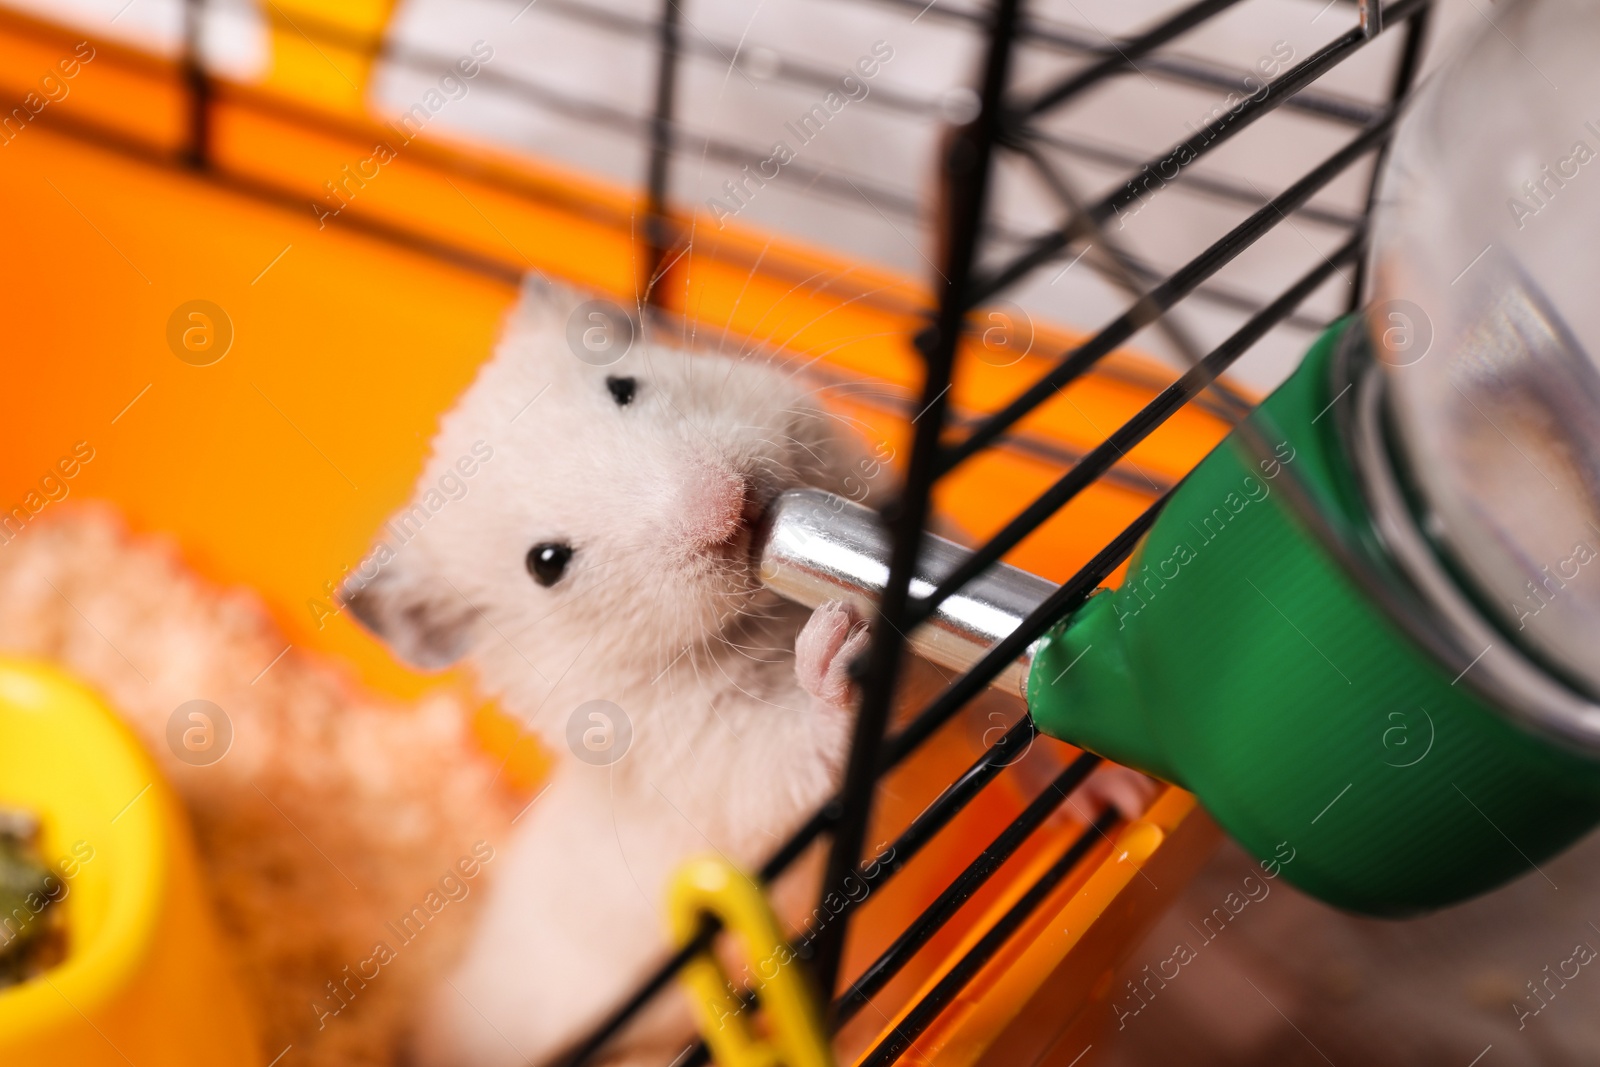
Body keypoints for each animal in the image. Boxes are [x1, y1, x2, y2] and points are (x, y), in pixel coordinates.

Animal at [344, 278, 1158, 1067]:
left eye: (623, 386)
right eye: (546, 563)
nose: (727, 506)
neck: (760, 615)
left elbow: (1016, 719)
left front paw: (1121, 789)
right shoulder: (730, 766)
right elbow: (806, 747)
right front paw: (834, 643)